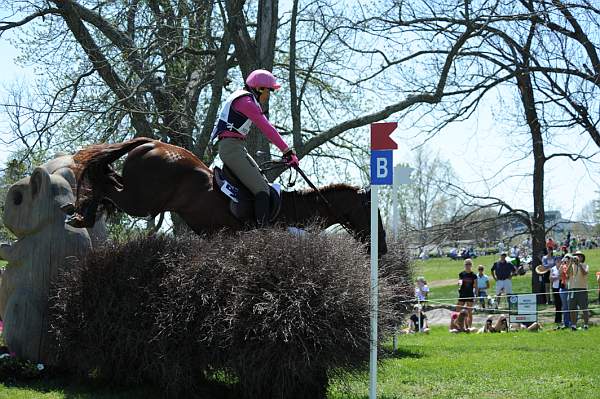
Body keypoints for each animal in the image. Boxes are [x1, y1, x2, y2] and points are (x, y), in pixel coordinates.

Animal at [68, 138, 390, 256]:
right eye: (372, 213)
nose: (383, 249)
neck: (293, 210)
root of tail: (151, 143)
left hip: (139, 193)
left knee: (107, 178)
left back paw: (83, 211)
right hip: (142, 201)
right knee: (106, 184)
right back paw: (82, 214)